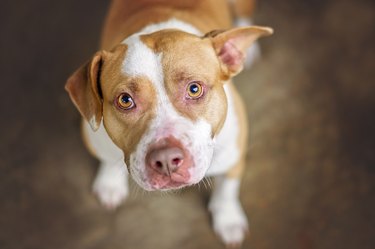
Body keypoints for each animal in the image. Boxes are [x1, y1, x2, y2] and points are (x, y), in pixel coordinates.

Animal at [65, 0, 274, 246]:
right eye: (125, 100)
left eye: (194, 89)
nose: (165, 160)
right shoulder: (95, 137)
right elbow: (107, 160)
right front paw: (110, 182)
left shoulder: (234, 154)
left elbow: (227, 189)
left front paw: (228, 219)